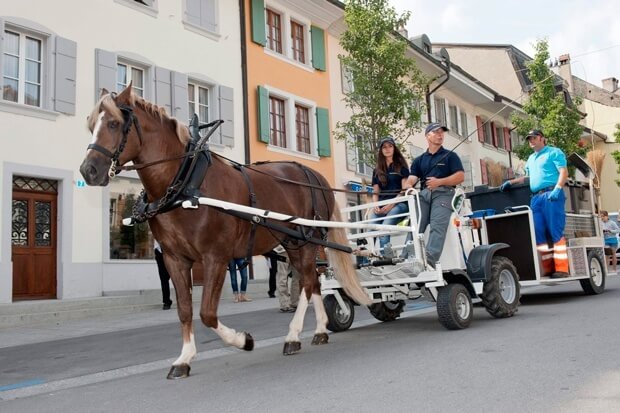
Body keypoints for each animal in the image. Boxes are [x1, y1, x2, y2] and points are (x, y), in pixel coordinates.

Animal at [77, 84, 368, 380]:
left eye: (114, 124)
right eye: (91, 124)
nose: (89, 171)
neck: (185, 183)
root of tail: (316, 176)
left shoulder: (215, 257)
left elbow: (207, 312)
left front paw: (243, 340)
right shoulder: (174, 259)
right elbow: (184, 310)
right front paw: (184, 358)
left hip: (307, 241)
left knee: (308, 282)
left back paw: (293, 335)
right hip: (292, 243)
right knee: (313, 282)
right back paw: (318, 331)